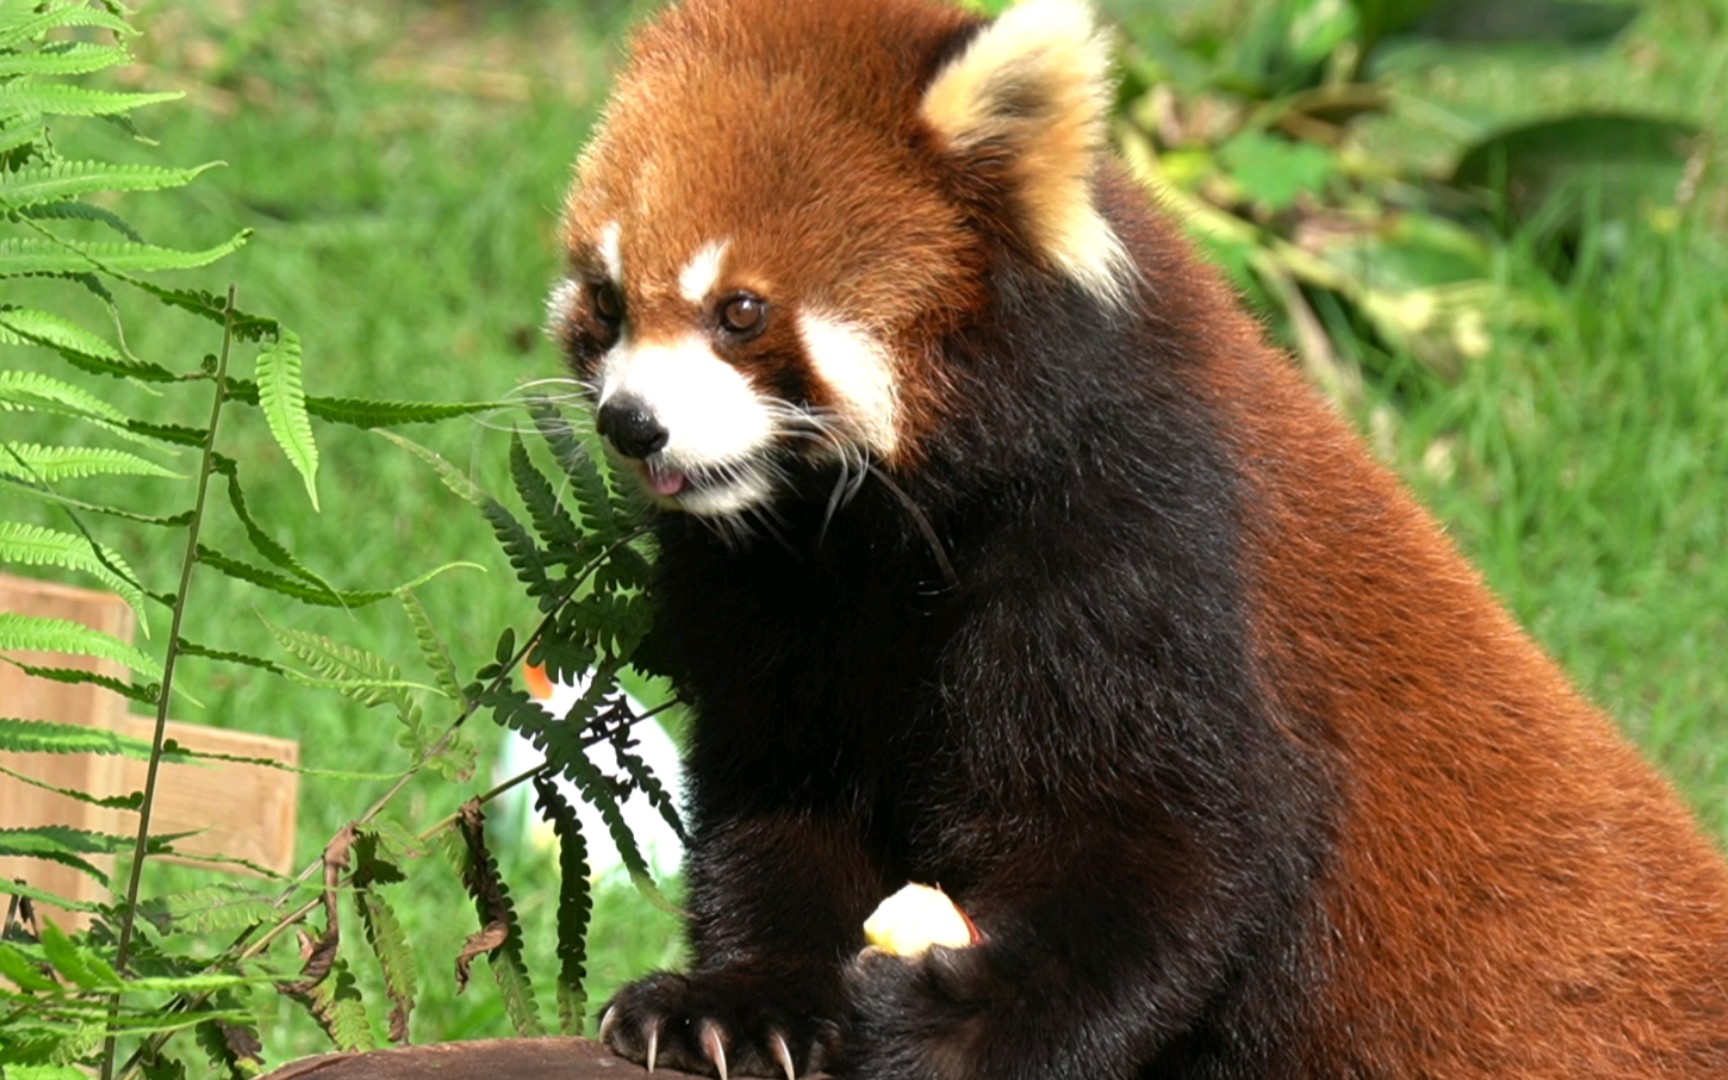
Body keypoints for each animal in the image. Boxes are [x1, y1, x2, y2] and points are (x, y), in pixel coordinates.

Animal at [546, 0, 1728, 1071]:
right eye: (606, 301)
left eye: (739, 313)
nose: (631, 422)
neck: (875, 539)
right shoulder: (783, 602)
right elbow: (784, 802)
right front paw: (740, 1001)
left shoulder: (1143, 540)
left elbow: (1182, 851)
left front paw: (954, 1025)